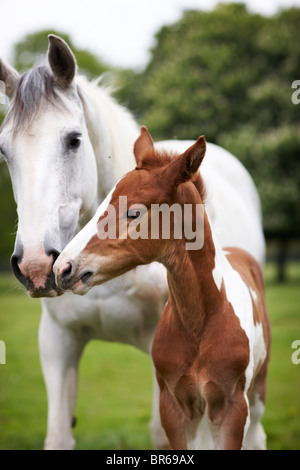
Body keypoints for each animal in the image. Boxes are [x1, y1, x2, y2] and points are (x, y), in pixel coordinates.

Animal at [54, 126, 272, 450]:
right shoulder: (175, 406)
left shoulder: (232, 408)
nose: (63, 268)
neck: (200, 323)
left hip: (256, 395)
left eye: (133, 213)